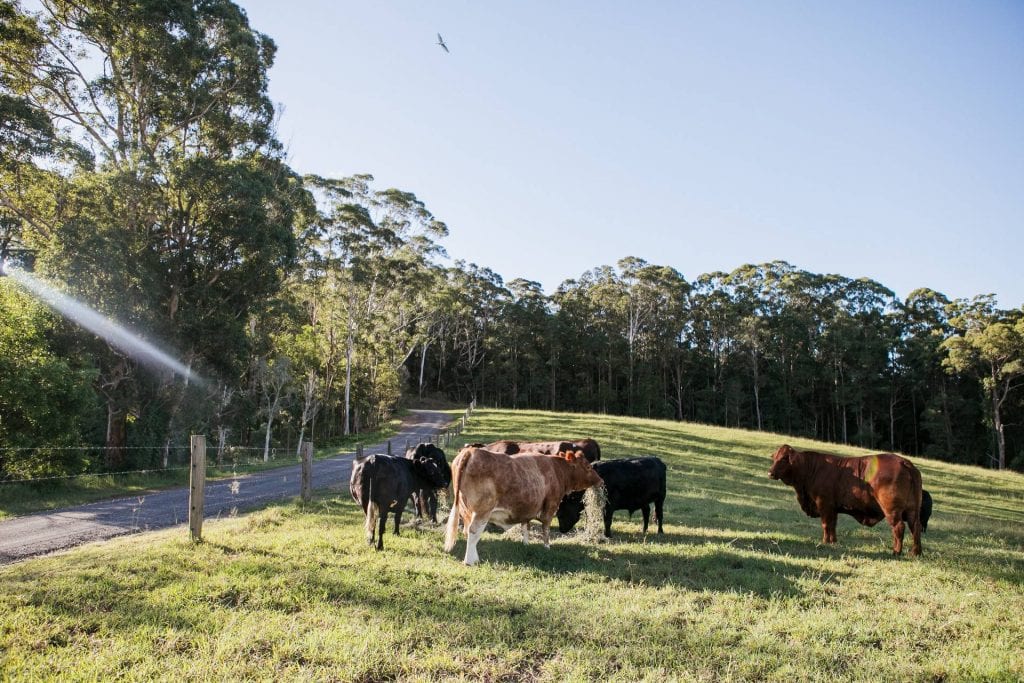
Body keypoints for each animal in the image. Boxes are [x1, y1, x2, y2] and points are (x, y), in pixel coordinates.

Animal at [444, 448, 602, 565]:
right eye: (588, 467)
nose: (601, 480)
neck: (557, 470)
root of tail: (471, 451)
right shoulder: (550, 506)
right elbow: (545, 529)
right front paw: (547, 547)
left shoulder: (527, 508)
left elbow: (525, 527)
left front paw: (526, 544)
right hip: (482, 511)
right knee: (473, 531)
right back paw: (470, 561)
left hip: (466, 511)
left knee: (467, 531)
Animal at [770, 446, 929, 557]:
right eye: (774, 458)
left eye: (784, 459)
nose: (770, 472)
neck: (810, 469)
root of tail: (903, 461)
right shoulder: (833, 508)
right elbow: (832, 525)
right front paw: (833, 542)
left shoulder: (824, 504)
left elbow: (826, 524)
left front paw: (825, 542)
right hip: (912, 510)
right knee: (915, 527)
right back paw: (915, 553)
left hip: (892, 510)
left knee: (899, 527)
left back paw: (896, 551)